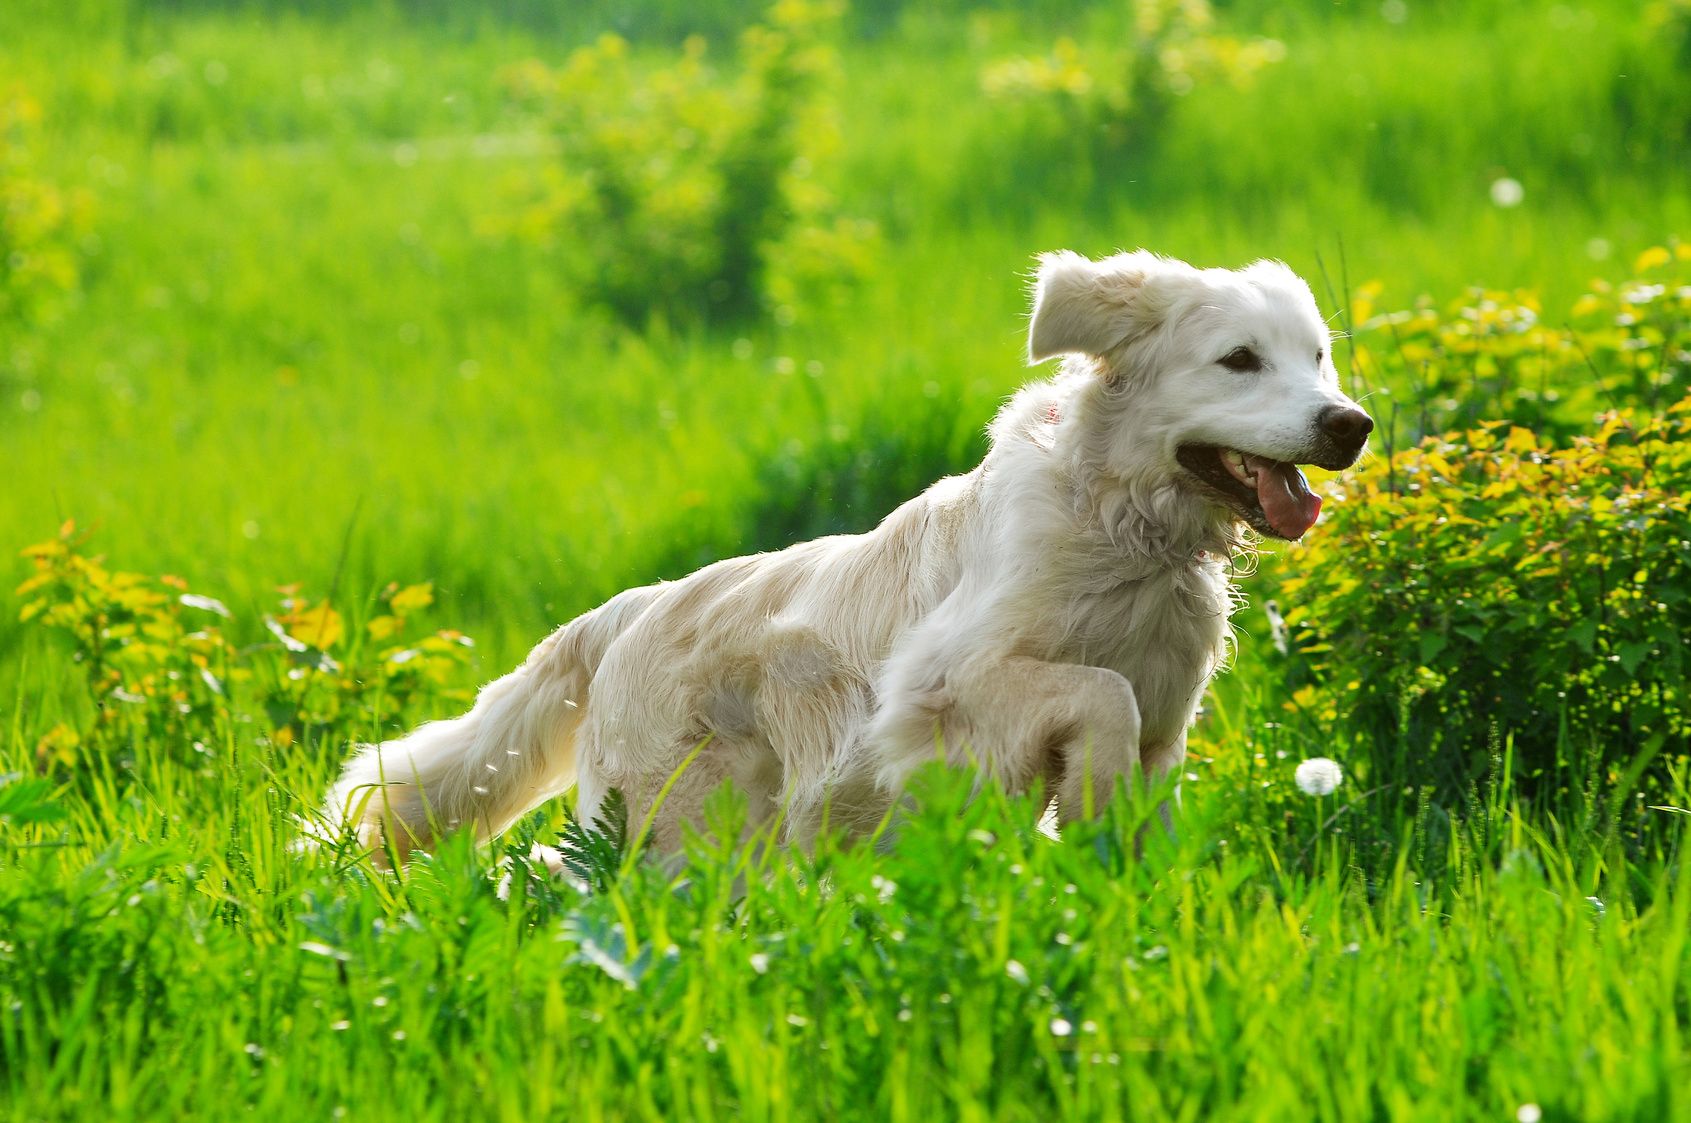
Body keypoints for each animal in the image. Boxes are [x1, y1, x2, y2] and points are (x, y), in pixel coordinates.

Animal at [319, 245, 1373, 859]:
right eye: (1238, 360)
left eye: (1315, 356)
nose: (1350, 424)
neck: (1121, 528)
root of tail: (631, 607)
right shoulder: (941, 688)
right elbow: (1098, 691)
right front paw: (1086, 801)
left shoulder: (1166, 729)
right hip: (676, 828)